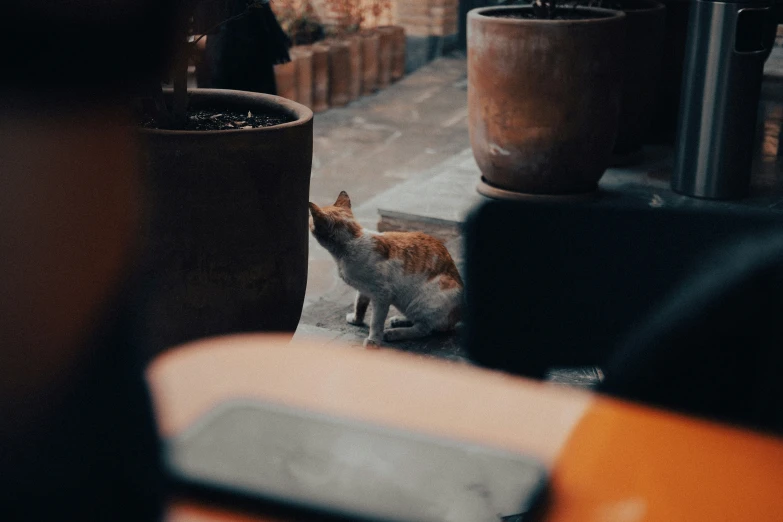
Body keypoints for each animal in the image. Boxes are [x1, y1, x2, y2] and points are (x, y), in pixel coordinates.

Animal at [310, 190, 462, 346]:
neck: (351, 242)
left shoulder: (382, 295)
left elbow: (375, 322)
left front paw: (373, 341)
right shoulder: (363, 289)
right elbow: (359, 305)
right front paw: (357, 320)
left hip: (422, 302)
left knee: (424, 329)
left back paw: (392, 333)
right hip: (407, 303)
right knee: (418, 322)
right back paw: (398, 320)